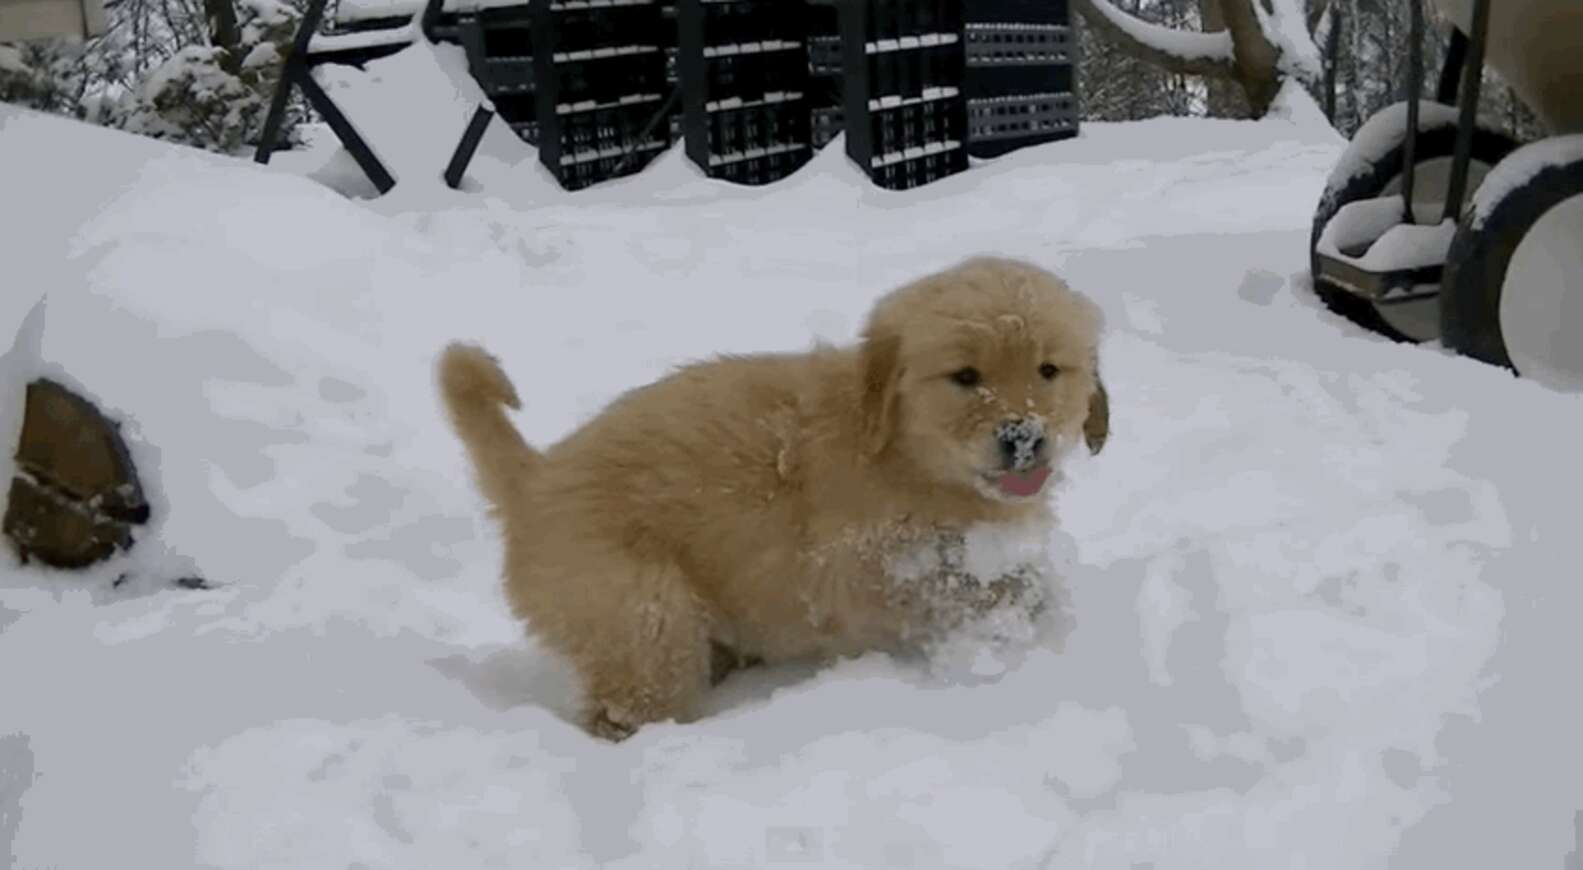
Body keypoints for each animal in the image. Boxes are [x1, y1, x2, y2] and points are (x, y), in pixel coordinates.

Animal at [433, 256, 1101, 740]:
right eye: (965, 377)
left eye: (1048, 370)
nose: (1023, 439)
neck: (903, 453)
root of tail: (535, 477)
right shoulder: (857, 561)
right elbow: (947, 584)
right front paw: (1001, 623)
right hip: (641, 616)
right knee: (629, 701)